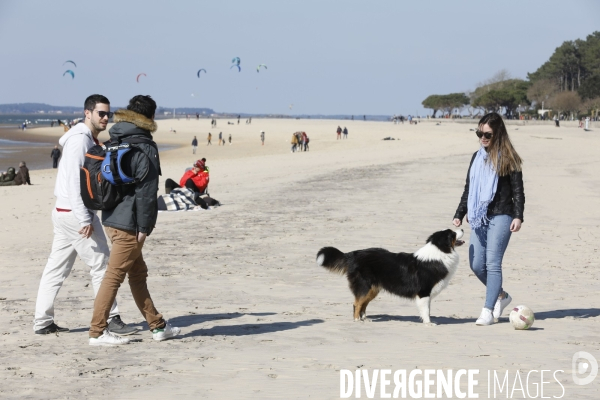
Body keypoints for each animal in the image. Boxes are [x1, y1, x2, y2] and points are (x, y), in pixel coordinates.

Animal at [318, 230, 464, 324]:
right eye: (452, 234)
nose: (462, 228)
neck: (440, 251)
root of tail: (352, 254)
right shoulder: (424, 292)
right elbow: (426, 310)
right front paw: (429, 324)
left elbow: (427, 310)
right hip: (364, 286)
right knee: (356, 303)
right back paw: (356, 320)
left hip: (373, 289)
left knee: (363, 304)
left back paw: (365, 319)